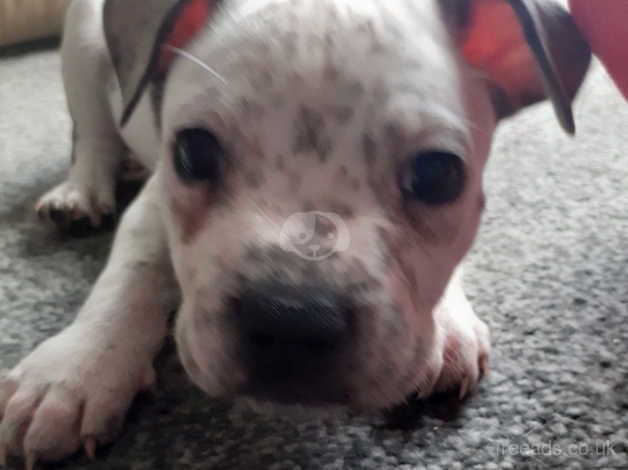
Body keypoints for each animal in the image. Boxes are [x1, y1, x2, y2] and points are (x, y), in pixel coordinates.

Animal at [0, 0, 592, 466]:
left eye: (437, 176)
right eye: (193, 153)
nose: (291, 319)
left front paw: (449, 323)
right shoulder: (154, 203)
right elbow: (132, 272)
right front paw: (75, 369)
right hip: (82, 46)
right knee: (94, 133)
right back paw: (80, 194)